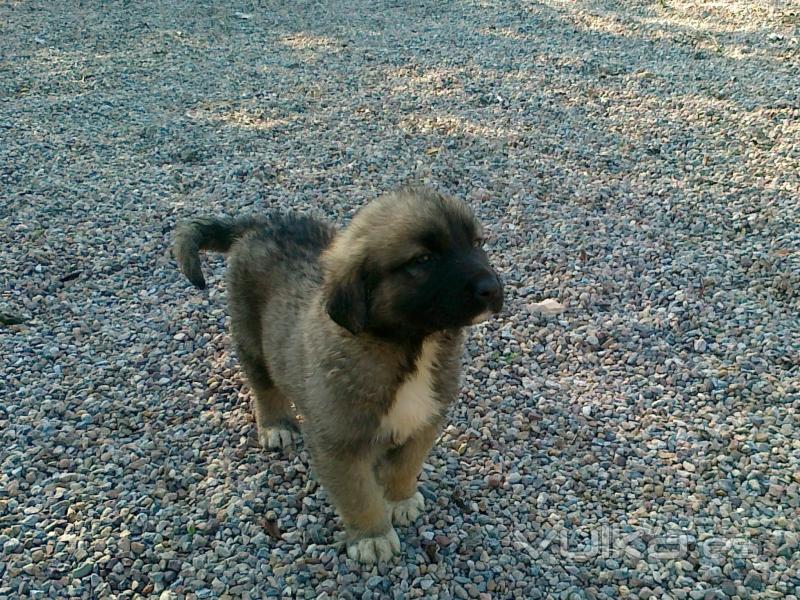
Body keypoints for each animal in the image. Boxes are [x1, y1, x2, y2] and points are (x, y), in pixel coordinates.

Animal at [173, 186, 500, 564]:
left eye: (477, 243)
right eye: (423, 260)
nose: (492, 288)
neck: (411, 347)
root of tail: (262, 222)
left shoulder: (425, 420)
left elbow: (405, 465)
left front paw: (400, 498)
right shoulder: (339, 443)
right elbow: (358, 495)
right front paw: (372, 536)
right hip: (250, 337)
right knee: (264, 386)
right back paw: (276, 426)